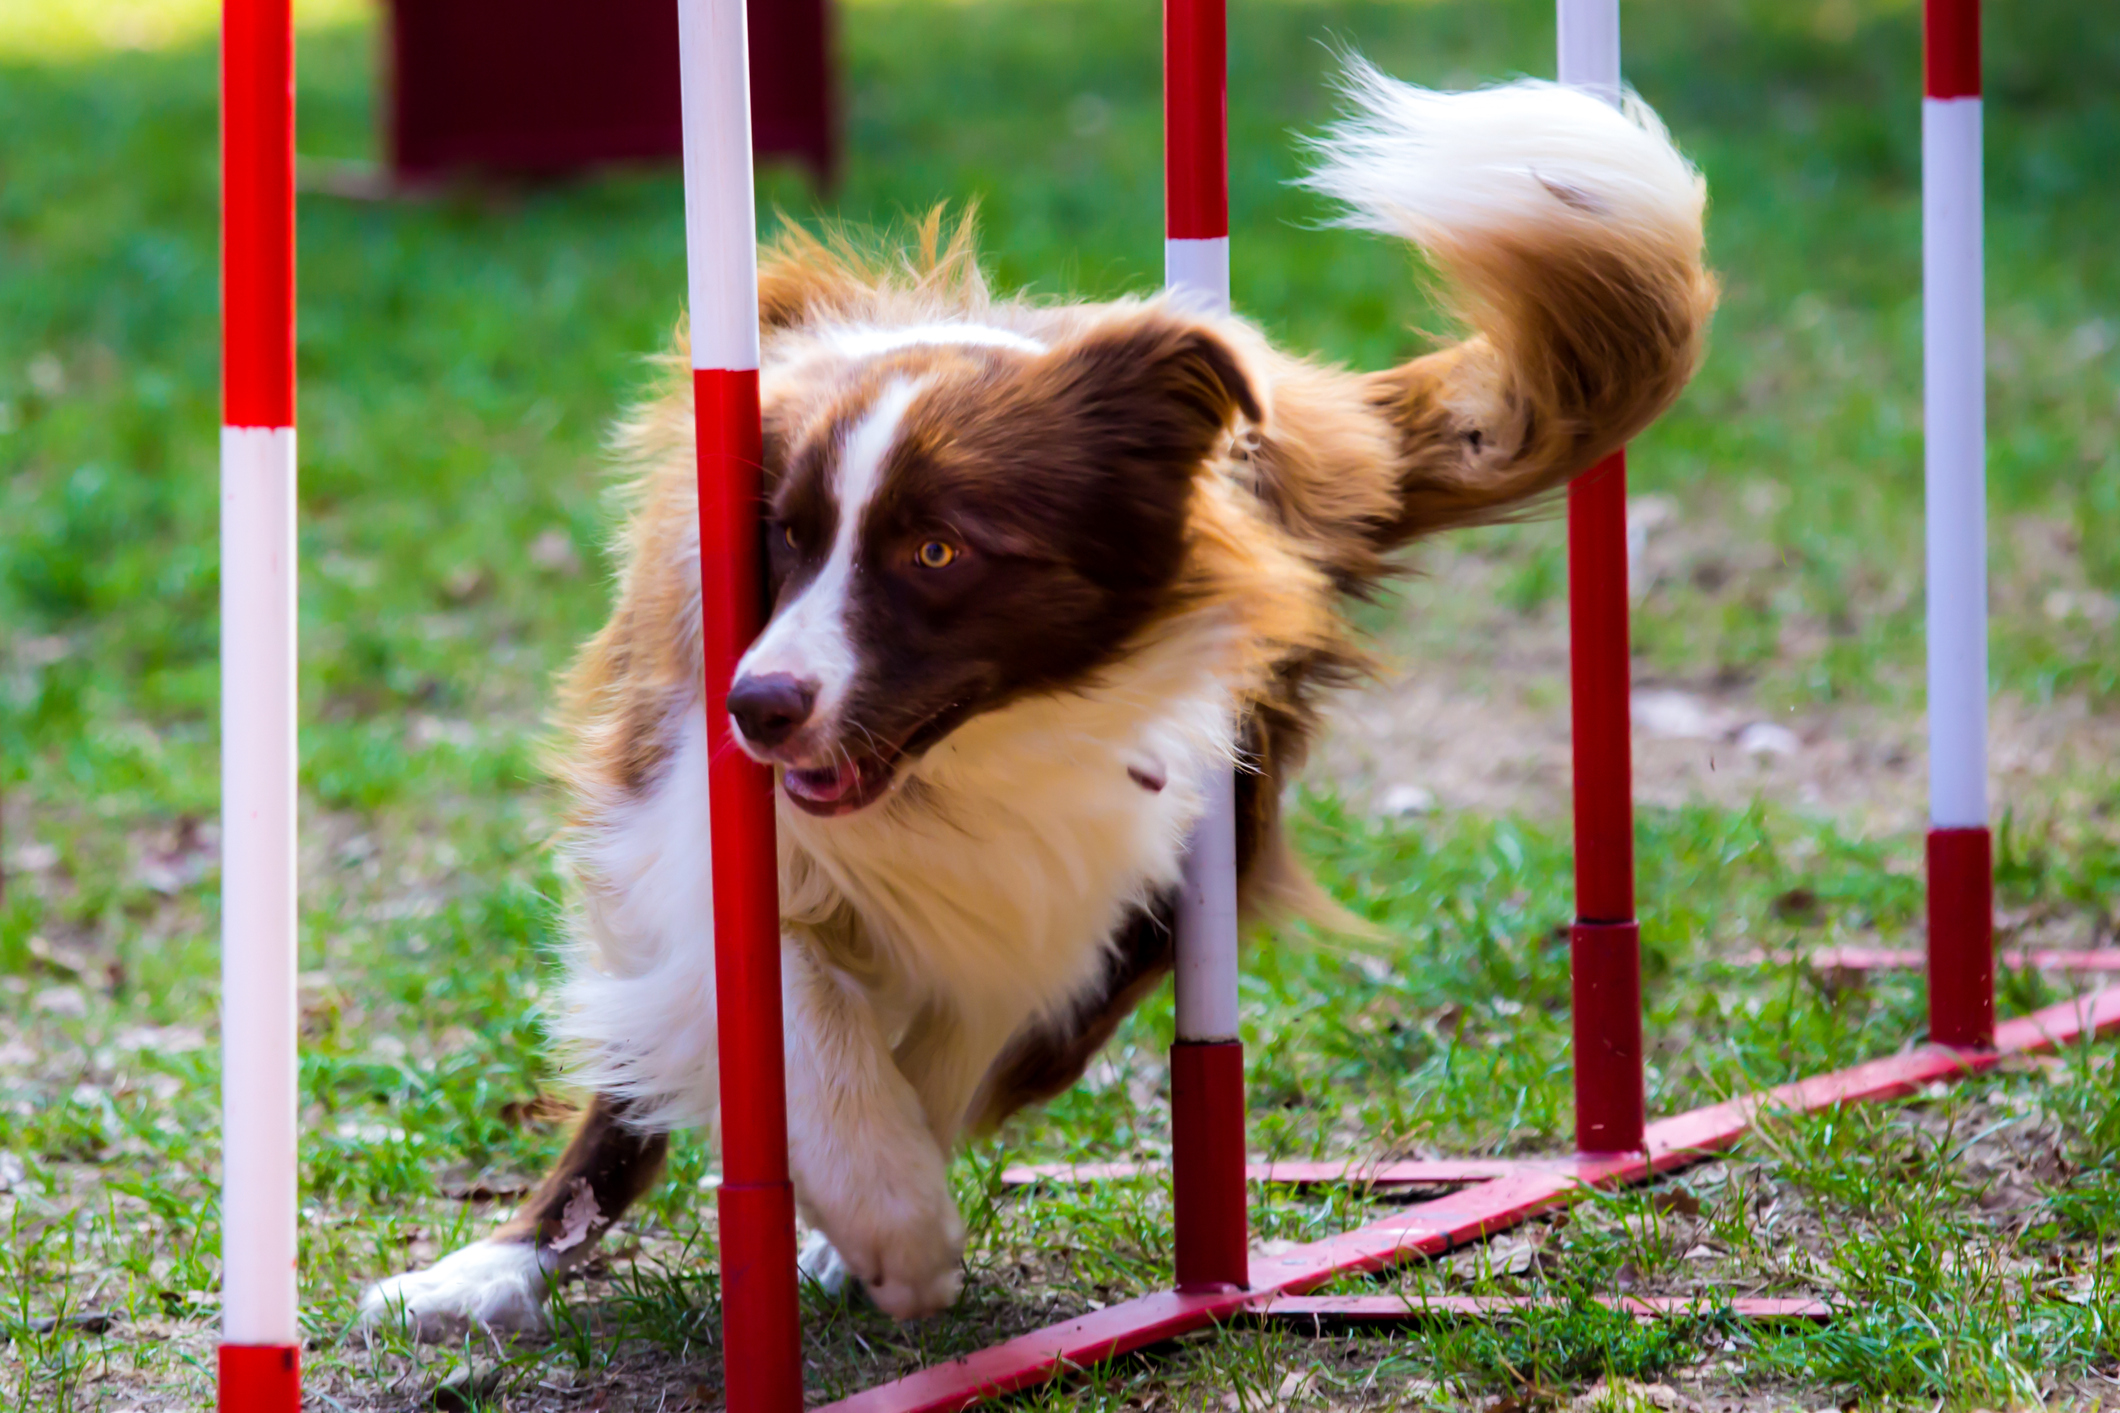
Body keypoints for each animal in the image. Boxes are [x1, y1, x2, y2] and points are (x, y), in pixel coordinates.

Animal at [364, 66, 1712, 1347]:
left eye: (938, 552)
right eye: (787, 537)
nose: (760, 705)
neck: (960, 764)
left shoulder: (1078, 875)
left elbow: (950, 1034)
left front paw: (877, 1227)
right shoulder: (682, 811)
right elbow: (791, 997)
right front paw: (886, 1215)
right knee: (630, 1104)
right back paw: (483, 1273)